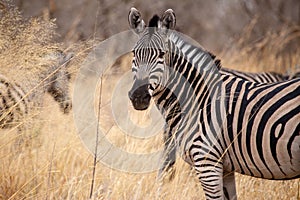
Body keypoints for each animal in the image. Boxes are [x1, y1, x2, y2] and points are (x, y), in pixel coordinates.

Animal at [127, 7, 300, 198]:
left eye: (161, 55)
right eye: (134, 54)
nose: (138, 96)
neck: (198, 98)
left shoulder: (207, 163)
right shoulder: (225, 168)